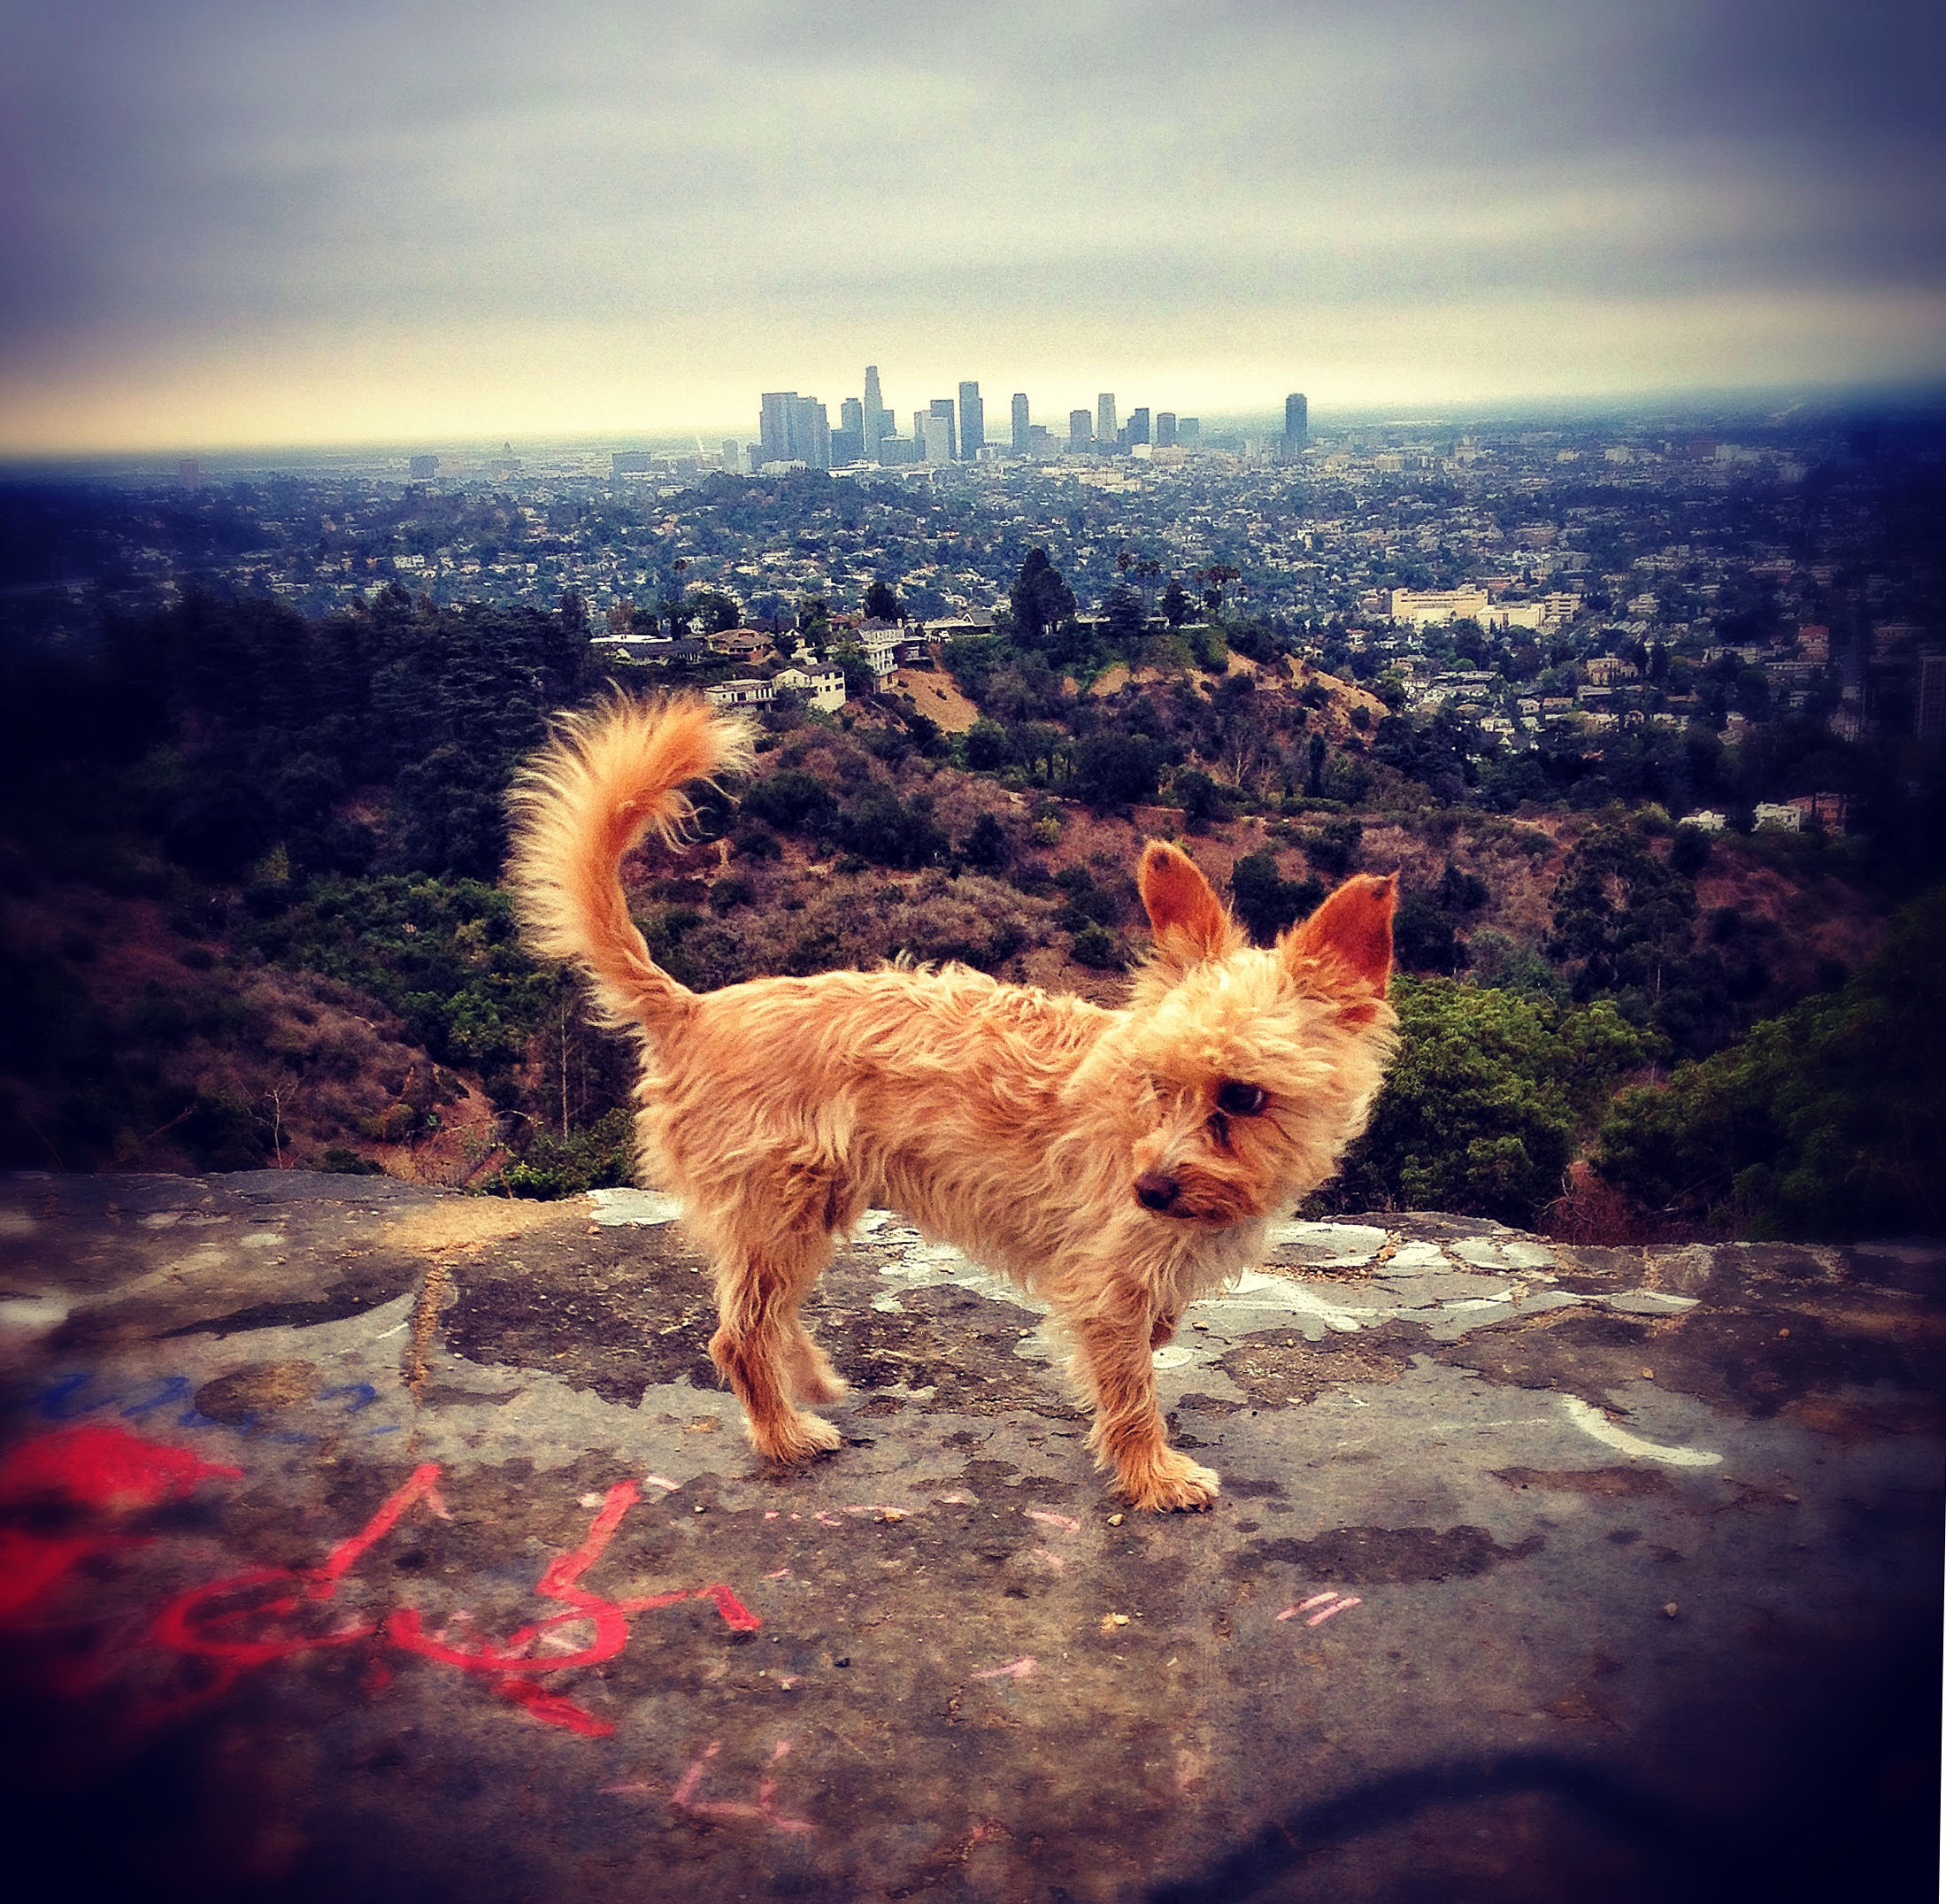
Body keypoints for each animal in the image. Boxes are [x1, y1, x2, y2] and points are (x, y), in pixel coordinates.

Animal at [510, 689, 1401, 1502]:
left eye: (1243, 1096)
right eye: (1157, 1083)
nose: (1146, 1190)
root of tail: (692, 1007)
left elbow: (1152, 1340)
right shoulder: (1104, 1286)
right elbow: (1129, 1386)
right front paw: (1152, 1474)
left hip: (807, 1213)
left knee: (763, 1317)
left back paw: (812, 1381)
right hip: (779, 1212)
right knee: (738, 1336)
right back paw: (785, 1432)